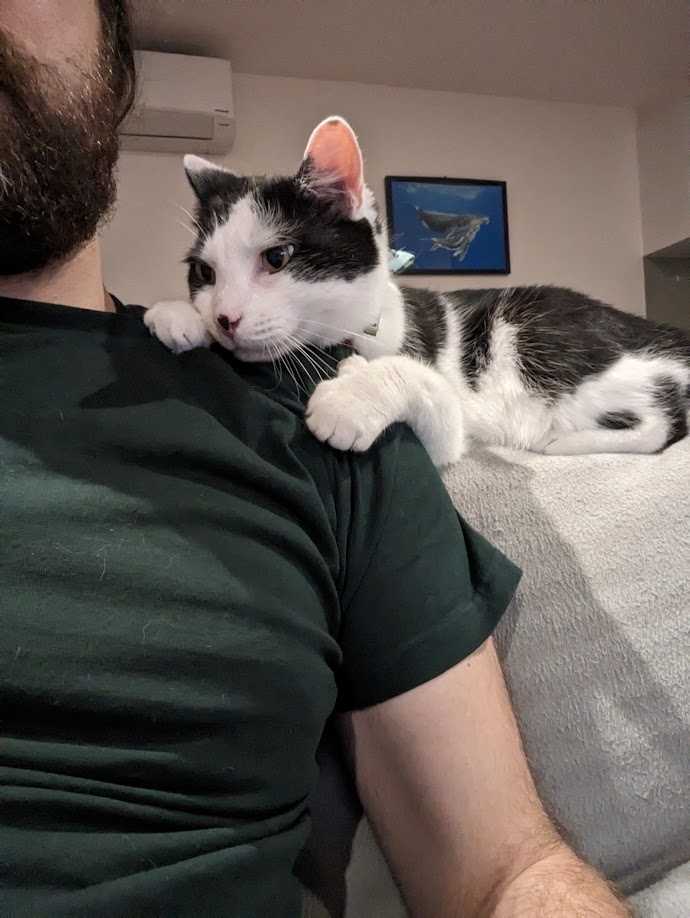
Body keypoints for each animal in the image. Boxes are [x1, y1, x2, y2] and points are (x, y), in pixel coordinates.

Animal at [145, 115, 688, 468]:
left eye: (277, 257)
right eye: (203, 272)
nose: (225, 319)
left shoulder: (445, 425)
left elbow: (419, 381)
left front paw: (353, 396)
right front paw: (178, 316)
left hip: (543, 338)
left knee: (664, 417)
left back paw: (556, 442)